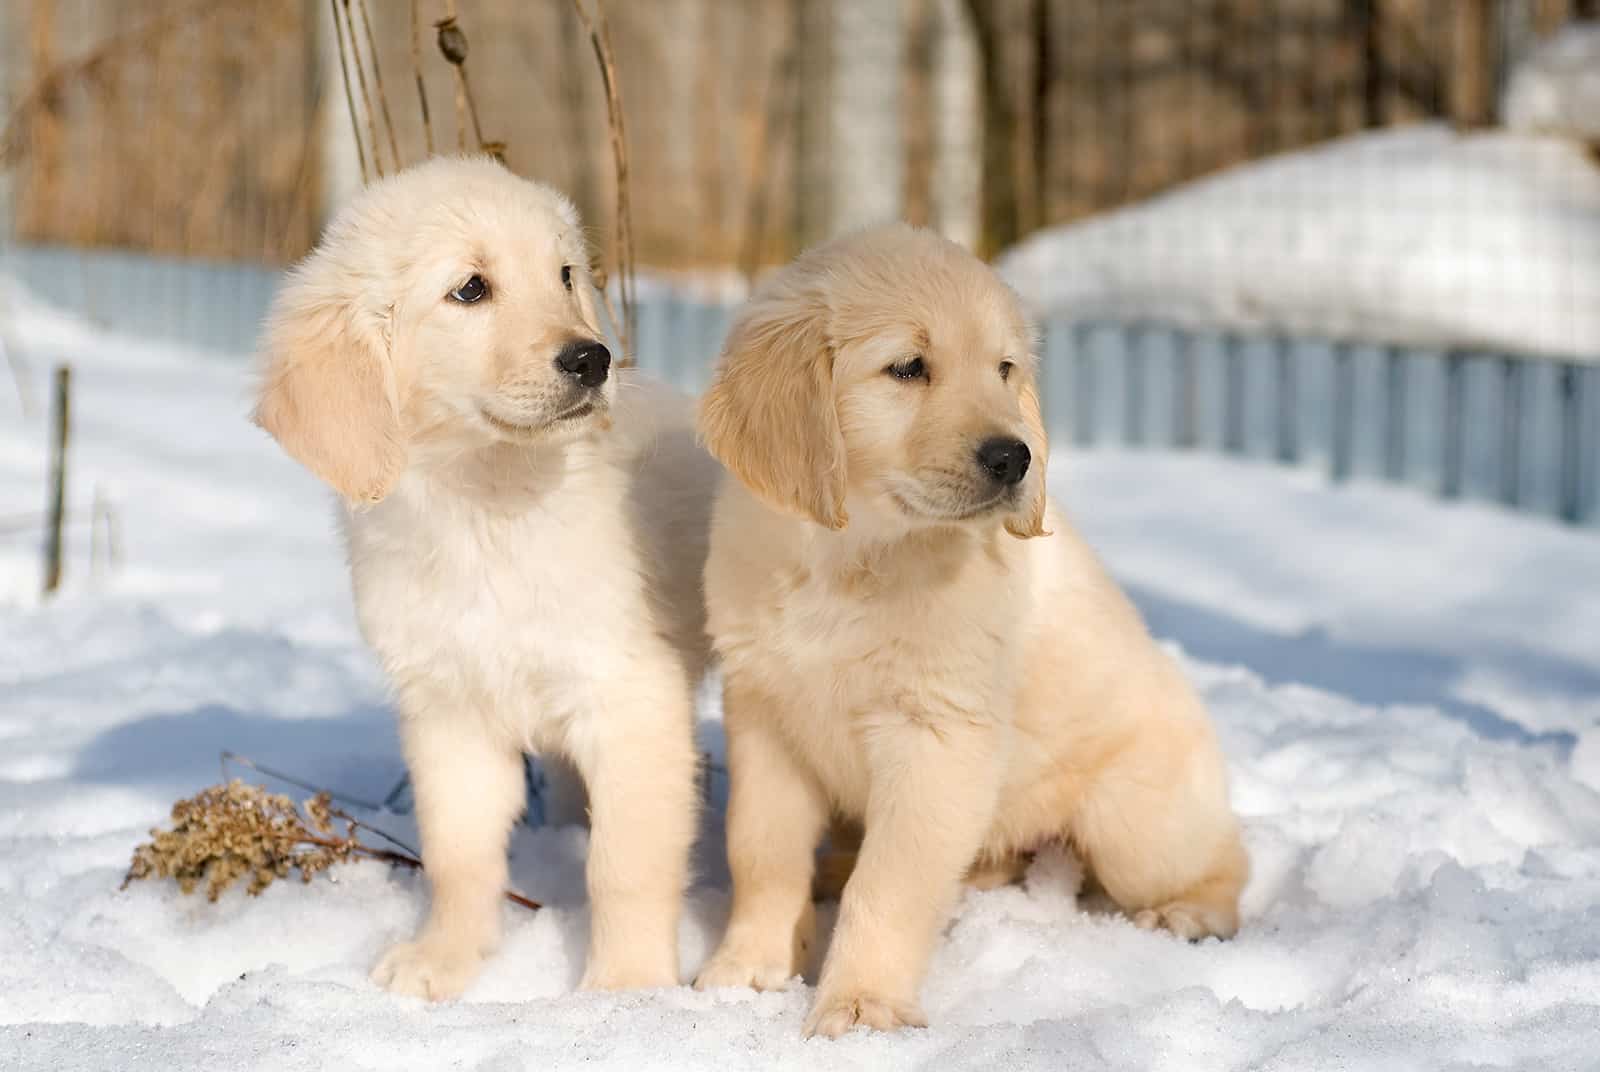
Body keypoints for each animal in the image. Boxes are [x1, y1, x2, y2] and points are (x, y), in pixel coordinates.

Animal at [252, 155, 716, 1004]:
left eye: (564, 275)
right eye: (471, 289)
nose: (593, 359)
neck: (489, 506)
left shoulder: (632, 698)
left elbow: (626, 865)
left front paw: (627, 989)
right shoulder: (449, 712)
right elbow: (459, 856)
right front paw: (443, 961)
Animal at [694, 224, 1241, 1043]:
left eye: (1004, 369)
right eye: (908, 367)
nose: (1015, 456)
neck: (855, 559)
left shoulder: (938, 736)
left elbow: (889, 885)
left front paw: (861, 1005)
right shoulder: (765, 713)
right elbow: (761, 852)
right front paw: (746, 968)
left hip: (1133, 821)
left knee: (1225, 855)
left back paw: (1192, 913)